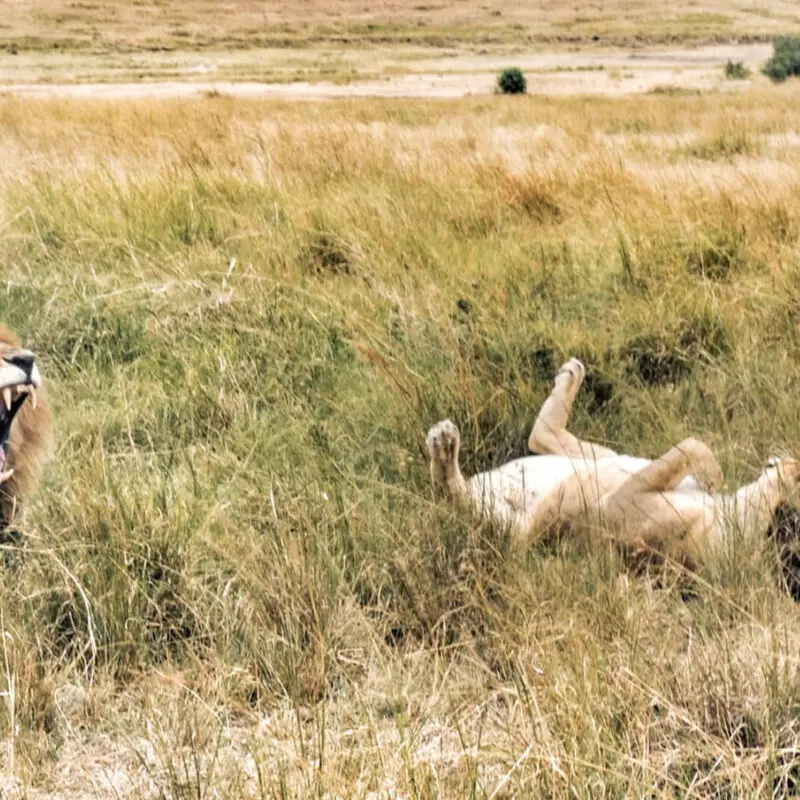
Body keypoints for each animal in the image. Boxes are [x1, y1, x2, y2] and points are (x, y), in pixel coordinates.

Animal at [426, 357, 800, 570]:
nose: (792, 460)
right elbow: (696, 445)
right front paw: (713, 475)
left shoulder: (619, 505)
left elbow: (690, 445)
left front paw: (712, 476)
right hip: (601, 460)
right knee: (541, 436)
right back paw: (571, 374)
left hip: (526, 521)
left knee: (457, 500)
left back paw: (443, 445)